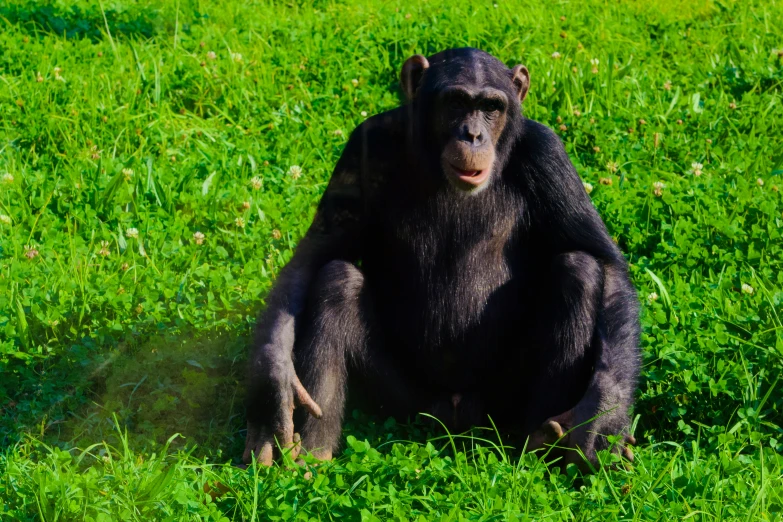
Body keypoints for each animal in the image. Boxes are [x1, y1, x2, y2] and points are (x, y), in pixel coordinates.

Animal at [243, 45, 636, 468]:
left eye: (491, 107)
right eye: (456, 103)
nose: (473, 134)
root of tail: (456, 413)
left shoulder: (549, 155)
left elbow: (605, 261)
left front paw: (603, 415)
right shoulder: (363, 144)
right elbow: (316, 254)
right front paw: (273, 388)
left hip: (498, 398)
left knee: (579, 270)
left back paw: (541, 443)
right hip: (409, 400)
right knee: (336, 279)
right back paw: (313, 457)